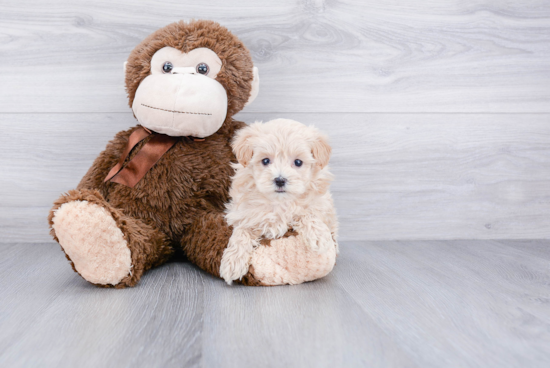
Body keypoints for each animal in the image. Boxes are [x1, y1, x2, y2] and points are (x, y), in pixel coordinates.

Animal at [221, 118, 340, 284]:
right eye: (265, 161)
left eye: (298, 162)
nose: (280, 180)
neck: (279, 203)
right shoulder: (244, 214)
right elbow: (242, 231)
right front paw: (232, 262)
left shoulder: (321, 205)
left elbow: (307, 212)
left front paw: (319, 237)